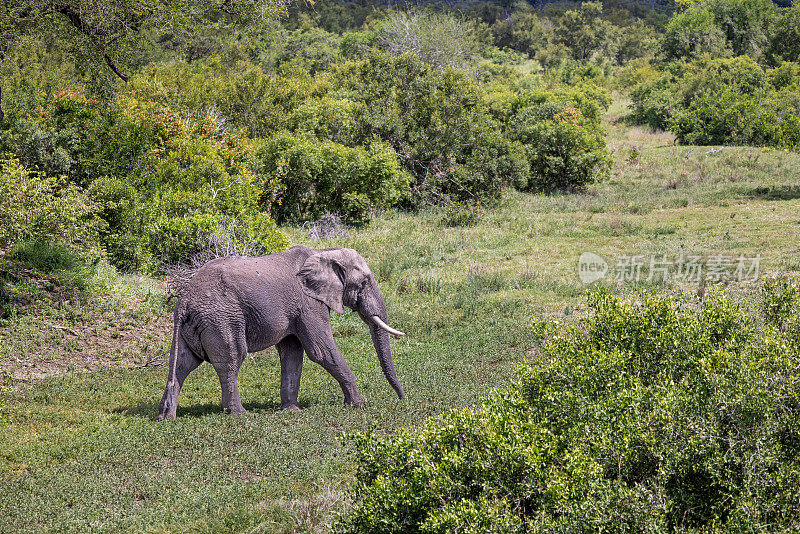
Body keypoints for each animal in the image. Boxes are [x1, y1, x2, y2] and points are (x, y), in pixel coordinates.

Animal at [156, 245, 406, 420]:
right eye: (364, 283)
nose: (402, 399)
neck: (323, 252)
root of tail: (184, 301)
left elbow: (292, 352)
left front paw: (291, 411)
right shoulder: (308, 303)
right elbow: (321, 351)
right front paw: (359, 404)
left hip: (192, 325)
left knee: (183, 363)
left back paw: (166, 417)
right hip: (222, 318)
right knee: (231, 360)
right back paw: (241, 415)